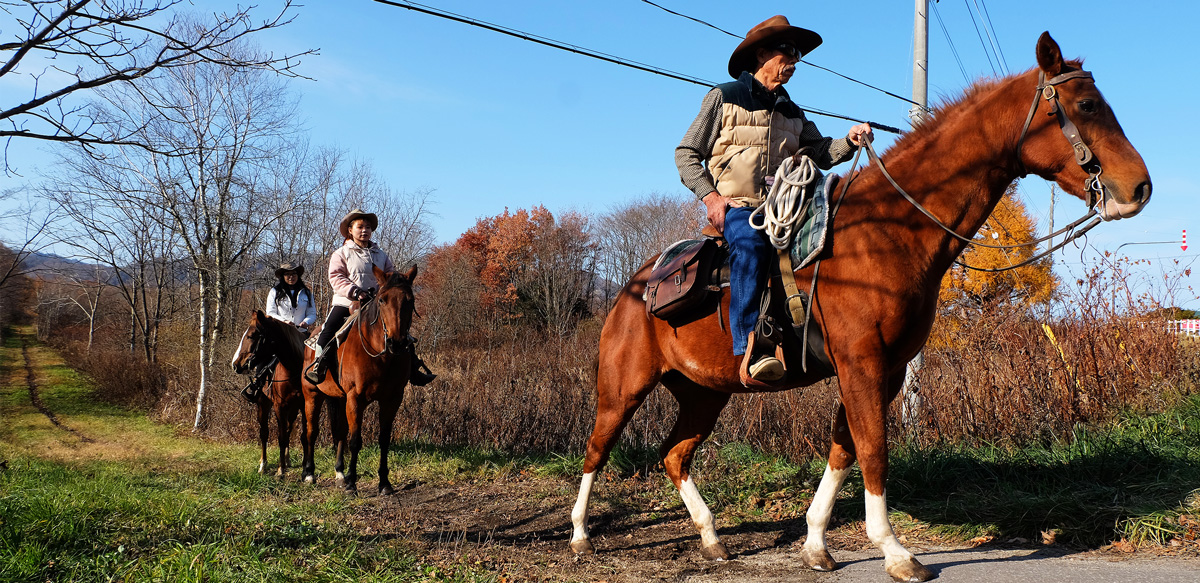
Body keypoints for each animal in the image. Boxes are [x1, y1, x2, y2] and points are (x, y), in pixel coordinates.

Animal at [229, 311, 304, 475]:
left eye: (251, 336)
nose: (235, 365)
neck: (293, 370)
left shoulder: (302, 406)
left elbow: (296, 434)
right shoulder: (279, 406)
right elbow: (280, 437)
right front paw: (280, 469)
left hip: (292, 409)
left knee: (288, 429)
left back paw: (286, 459)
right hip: (263, 404)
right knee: (264, 433)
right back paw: (263, 465)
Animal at [298, 263, 417, 491]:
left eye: (410, 300)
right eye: (382, 299)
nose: (397, 343)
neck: (382, 356)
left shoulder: (392, 399)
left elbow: (383, 439)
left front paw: (384, 483)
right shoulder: (355, 398)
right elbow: (355, 441)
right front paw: (352, 484)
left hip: (339, 398)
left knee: (339, 431)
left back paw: (339, 472)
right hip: (312, 396)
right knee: (311, 432)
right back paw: (309, 473)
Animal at [566, 32, 1147, 583]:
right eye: (1086, 104)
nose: (1139, 187)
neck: (887, 233)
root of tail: (631, 288)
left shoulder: (885, 370)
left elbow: (844, 449)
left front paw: (816, 545)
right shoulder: (861, 364)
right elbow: (873, 450)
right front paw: (896, 553)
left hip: (703, 393)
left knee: (674, 454)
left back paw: (711, 539)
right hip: (623, 388)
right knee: (596, 449)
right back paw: (580, 536)